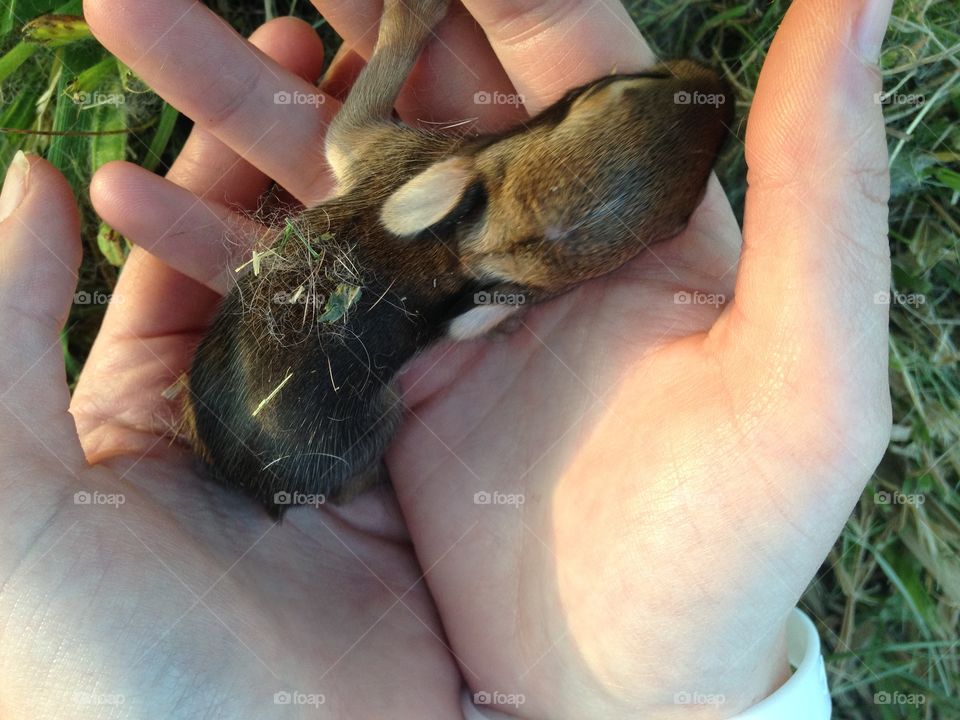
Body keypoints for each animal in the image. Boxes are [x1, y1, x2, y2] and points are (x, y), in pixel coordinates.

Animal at [183, 0, 735, 515]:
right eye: (626, 83)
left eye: (684, 215)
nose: (720, 87)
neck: (468, 250)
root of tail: (256, 485)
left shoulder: (385, 147)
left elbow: (389, 59)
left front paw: (417, 7)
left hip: (380, 419)